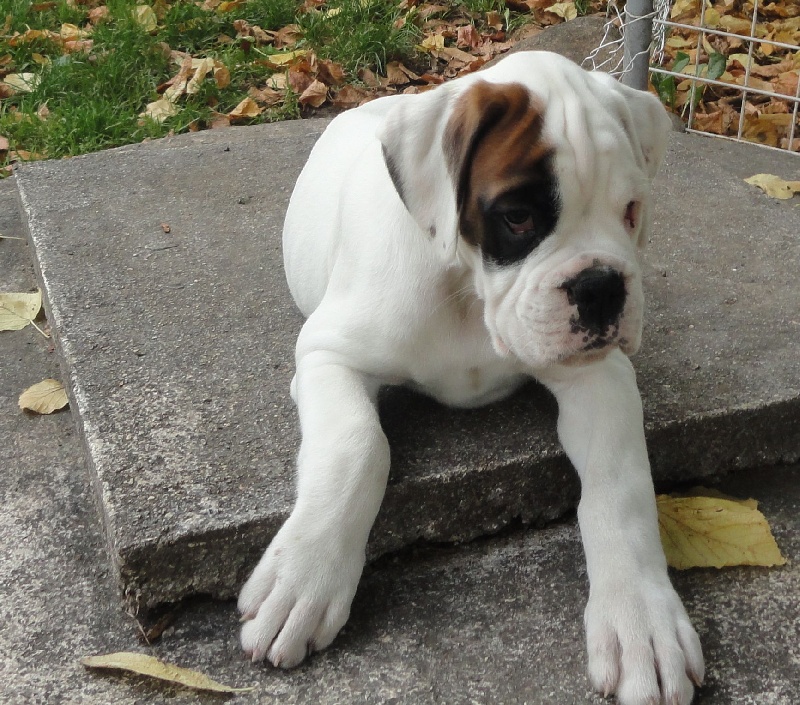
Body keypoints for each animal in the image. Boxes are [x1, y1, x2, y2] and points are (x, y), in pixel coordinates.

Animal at [239, 51, 708, 704]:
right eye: (517, 217)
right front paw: (304, 576)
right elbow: (358, 447)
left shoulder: (599, 377)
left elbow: (620, 485)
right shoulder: (328, 354)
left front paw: (641, 618)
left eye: (631, 212)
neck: (468, 292)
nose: (602, 288)